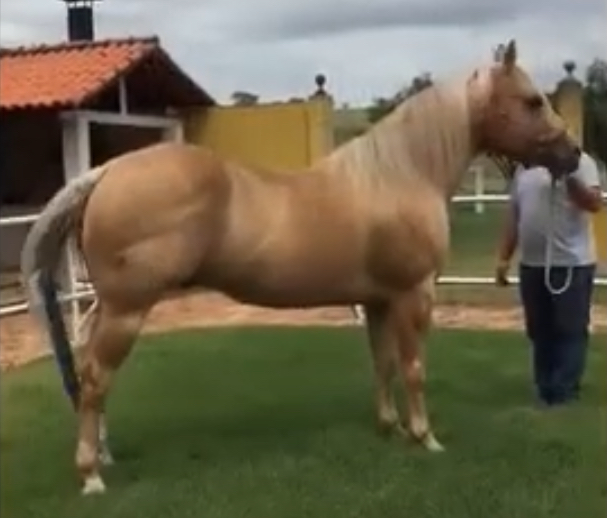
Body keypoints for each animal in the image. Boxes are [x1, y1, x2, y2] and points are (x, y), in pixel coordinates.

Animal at [21, 40, 580, 496]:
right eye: (532, 100)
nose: (572, 154)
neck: (399, 175)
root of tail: (106, 172)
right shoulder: (414, 294)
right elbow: (414, 368)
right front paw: (425, 437)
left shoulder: (379, 300)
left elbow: (383, 364)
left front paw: (390, 428)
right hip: (127, 310)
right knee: (96, 378)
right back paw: (91, 475)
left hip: (107, 308)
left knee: (87, 376)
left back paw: (105, 455)